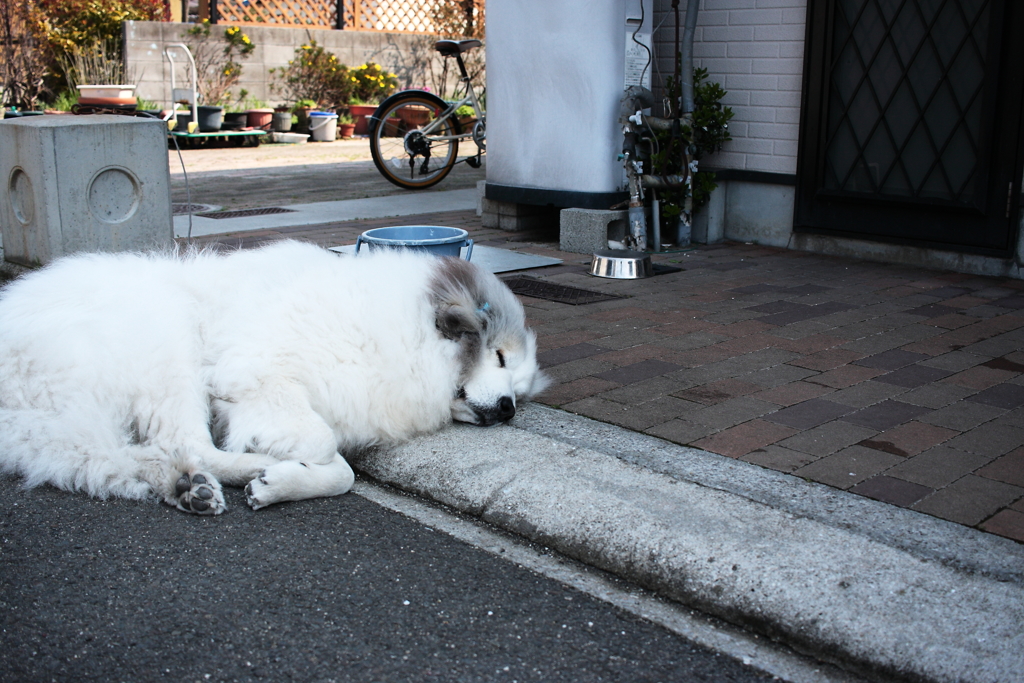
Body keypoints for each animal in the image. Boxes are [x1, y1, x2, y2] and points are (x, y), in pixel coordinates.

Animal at [0, 240, 548, 511]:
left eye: (520, 393)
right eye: (499, 357)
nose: (508, 410)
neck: (409, 332)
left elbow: (343, 474)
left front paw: (280, 482)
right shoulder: (261, 373)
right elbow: (327, 449)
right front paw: (282, 471)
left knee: (161, 453)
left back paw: (187, 487)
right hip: (169, 342)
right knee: (187, 445)